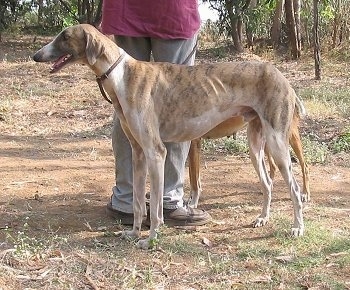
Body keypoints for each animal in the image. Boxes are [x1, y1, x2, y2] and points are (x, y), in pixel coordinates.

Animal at [34, 24, 304, 249]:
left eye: (65, 37)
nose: (36, 56)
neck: (121, 74)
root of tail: (283, 77)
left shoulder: (156, 152)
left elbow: (154, 207)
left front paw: (151, 239)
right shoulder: (138, 153)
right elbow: (137, 202)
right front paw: (134, 233)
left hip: (278, 146)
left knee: (295, 188)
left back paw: (297, 227)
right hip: (256, 146)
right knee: (268, 183)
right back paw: (263, 218)